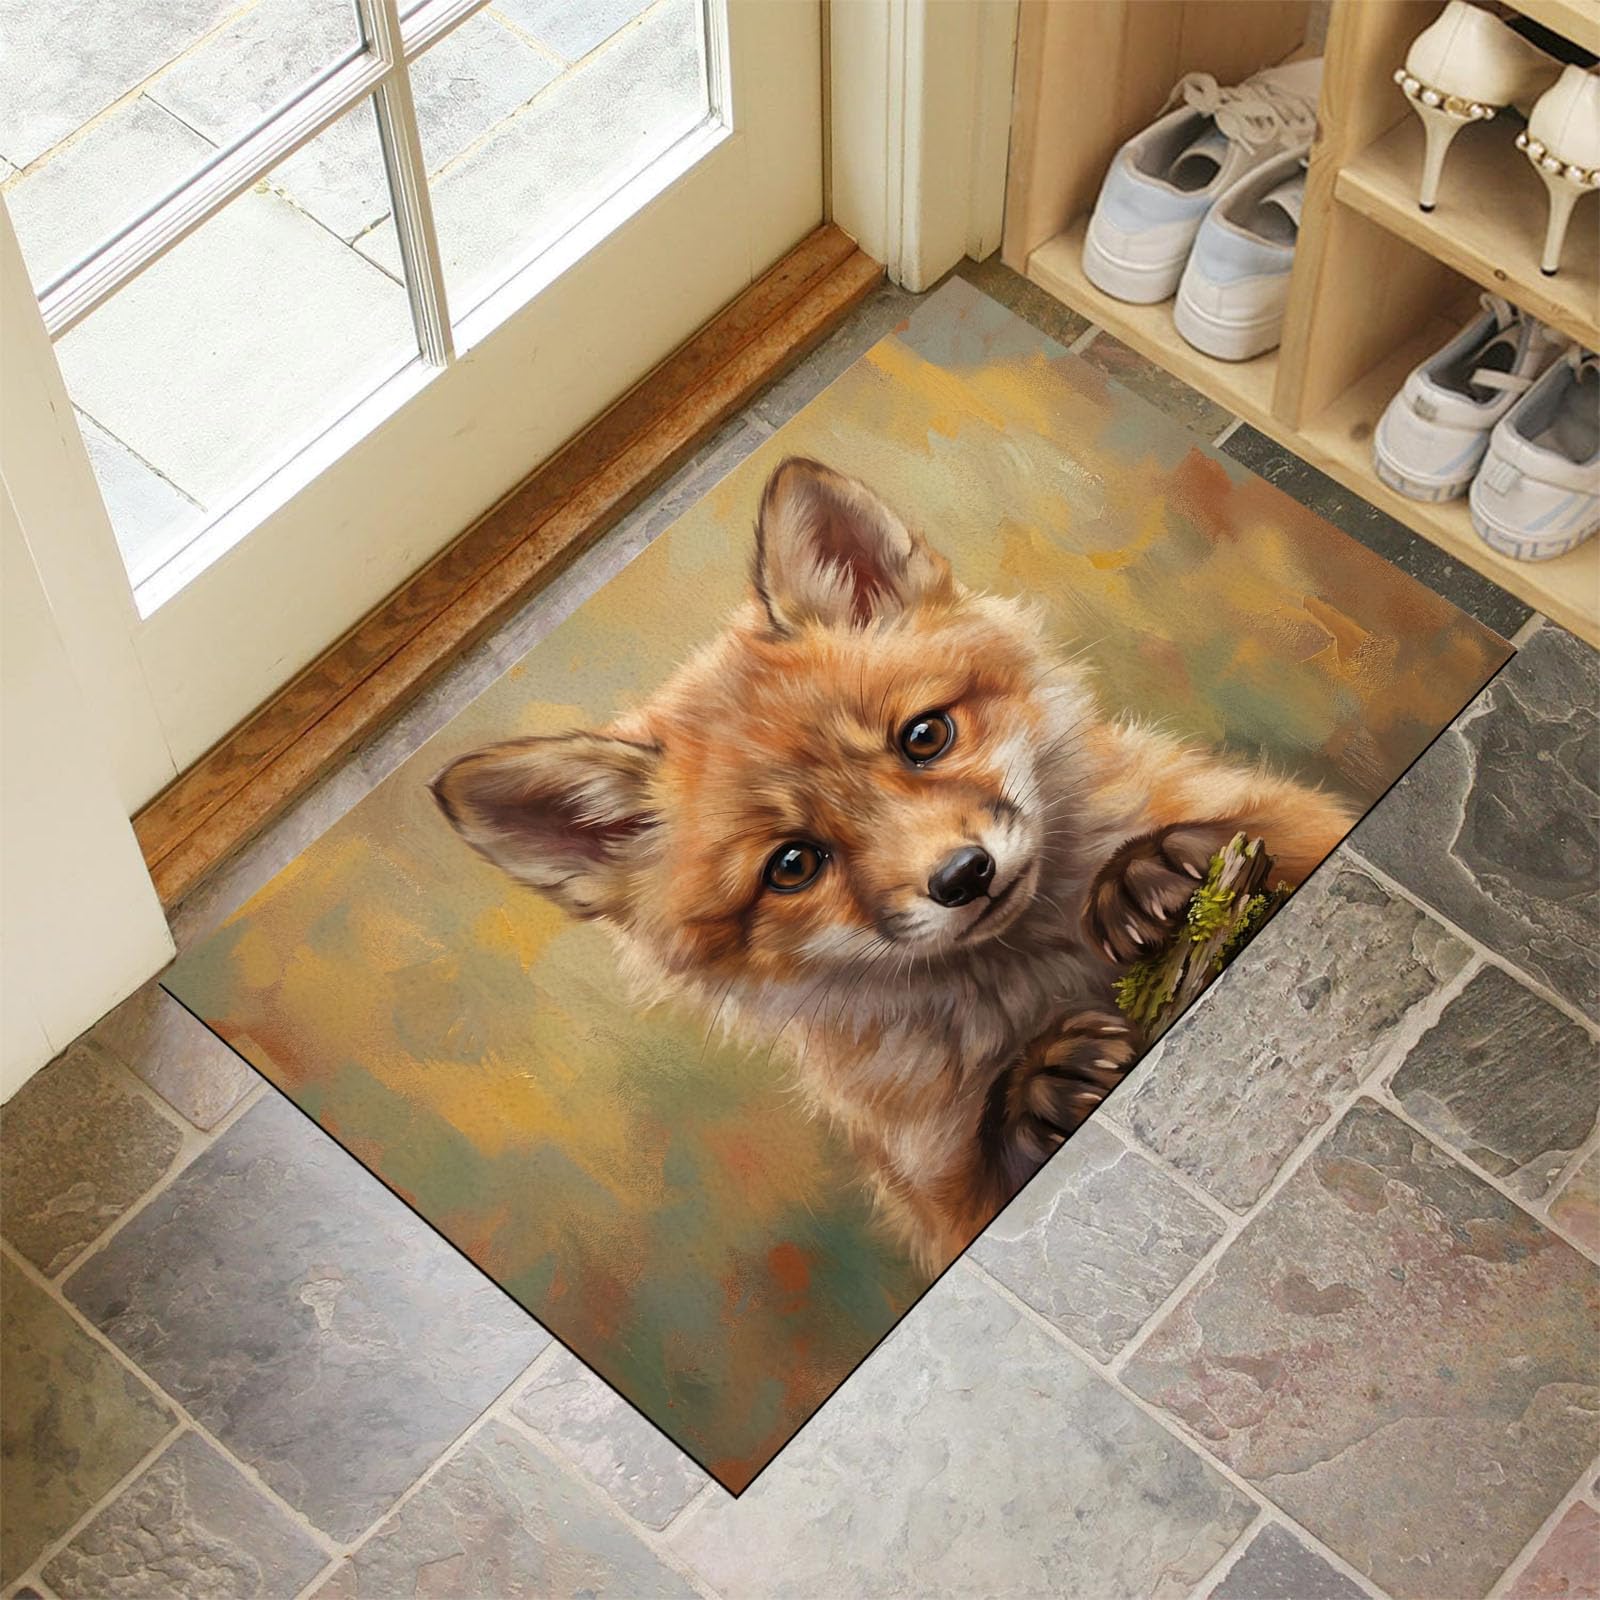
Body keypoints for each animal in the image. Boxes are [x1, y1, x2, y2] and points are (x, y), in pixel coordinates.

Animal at [432, 457, 1355, 1271]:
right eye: (793, 865)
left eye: (924, 736)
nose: (964, 876)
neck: (1042, 977)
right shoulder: (941, 1203)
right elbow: (985, 1170)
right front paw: (1035, 1089)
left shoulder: (1307, 821)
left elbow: (1272, 830)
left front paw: (1141, 871)